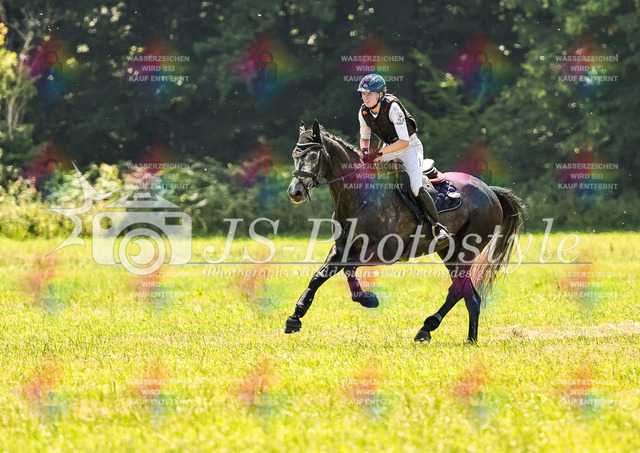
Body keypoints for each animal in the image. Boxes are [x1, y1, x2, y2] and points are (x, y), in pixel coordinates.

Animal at [285, 120, 526, 343]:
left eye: (313, 155)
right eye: (295, 155)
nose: (295, 192)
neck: (362, 195)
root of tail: (490, 192)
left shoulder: (384, 250)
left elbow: (347, 269)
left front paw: (368, 299)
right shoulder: (342, 248)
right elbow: (320, 276)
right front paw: (295, 317)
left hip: (467, 250)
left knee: (457, 290)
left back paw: (427, 327)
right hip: (449, 252)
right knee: (470, 296)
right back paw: (470, 338)